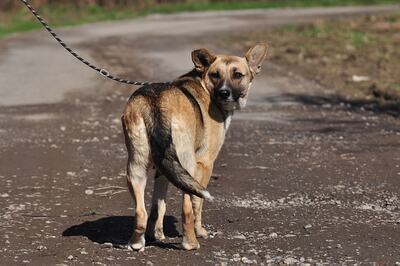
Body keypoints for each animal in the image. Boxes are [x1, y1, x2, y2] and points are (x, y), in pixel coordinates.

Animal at [120, 42, 268, 250]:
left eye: (238, 75)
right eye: (215, 74)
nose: (224, 93)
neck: (204, 83)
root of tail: (156, 102)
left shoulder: (164, 169)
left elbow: (158, 205)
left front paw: (156, 234)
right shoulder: (205, 164)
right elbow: (197, 204)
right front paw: (200, 231)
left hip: (136, 168)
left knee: (141, 212)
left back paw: (136, 243)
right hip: (188, 165)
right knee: (187, 208)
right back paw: (190, 242)